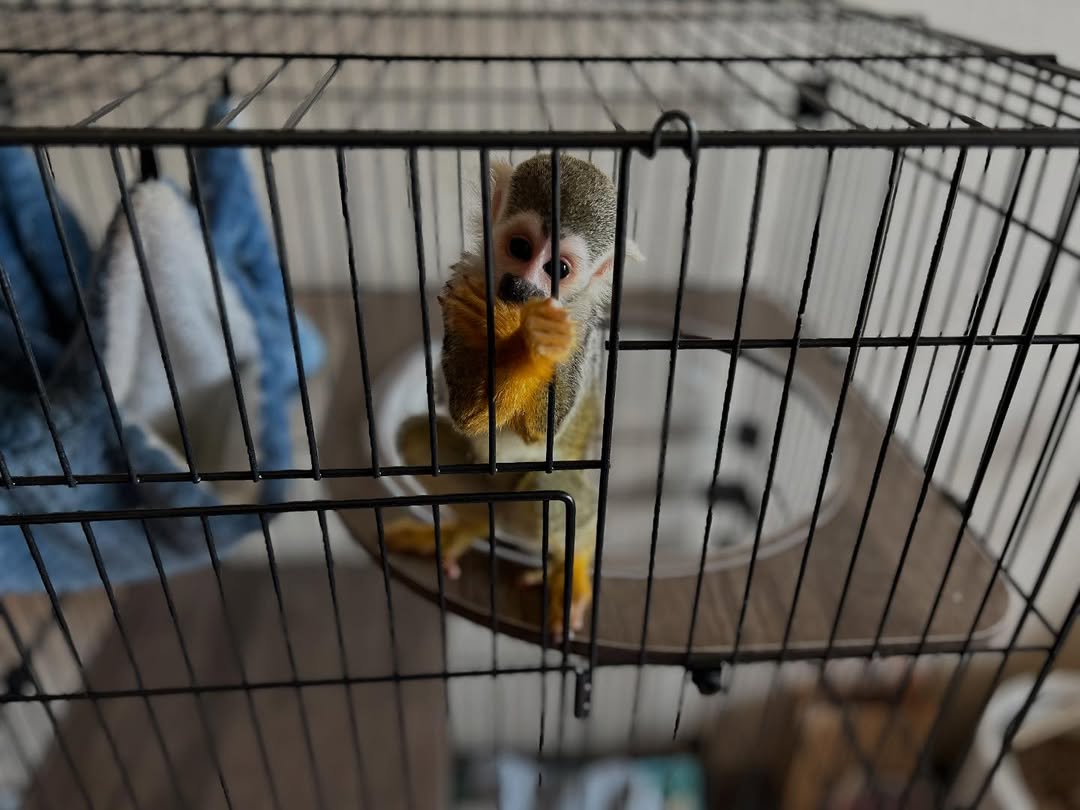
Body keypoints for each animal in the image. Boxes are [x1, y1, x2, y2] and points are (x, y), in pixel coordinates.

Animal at [382, 153, 642, 639]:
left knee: (555, 496)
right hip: (479, 492)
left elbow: (540, 431)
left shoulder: (578, 330)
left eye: (558, 269)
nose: (520, 287)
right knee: (419, 438)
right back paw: (464, 527)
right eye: (520, 248)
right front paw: (495, 325)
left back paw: (572, 565)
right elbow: (466, 412)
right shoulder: (463, 281)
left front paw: (531, 342)